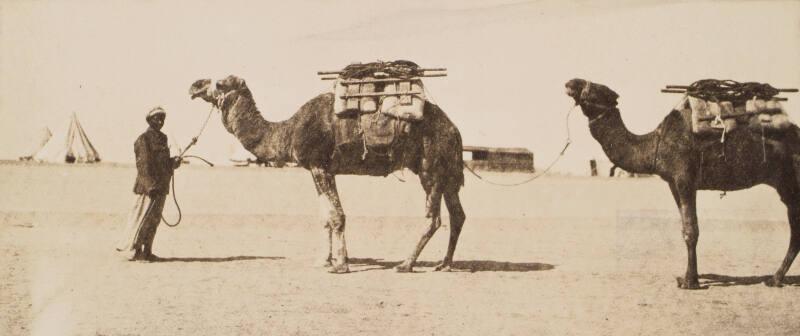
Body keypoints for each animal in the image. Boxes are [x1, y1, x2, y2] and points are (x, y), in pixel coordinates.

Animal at [190, 74, 466, 272]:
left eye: (220, 83)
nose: (194, 86)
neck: (287, 132)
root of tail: (454, 129)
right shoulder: (317, 169)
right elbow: (325, 217)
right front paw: (323, 260)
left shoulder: (320, 165)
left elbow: (337, 216)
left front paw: (340, 265)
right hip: (448, 172)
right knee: (457, 215)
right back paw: (445, 264)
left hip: (430, 168)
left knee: (433, 218)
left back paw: (406, 264)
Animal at [564, 77, 796, 288]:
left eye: (598, 89)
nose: (571, 83)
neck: (654, 144)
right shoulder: (673, 183)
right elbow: (685, 228)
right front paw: (689, 277)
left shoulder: (685, 178)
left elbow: (692, 231)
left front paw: (690, 281)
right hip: (786, 186)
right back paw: (775, 278)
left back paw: (775, 279)